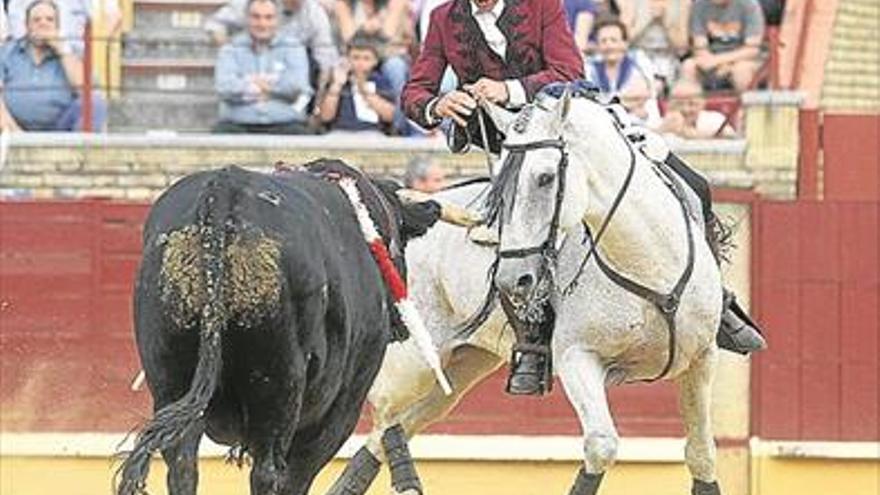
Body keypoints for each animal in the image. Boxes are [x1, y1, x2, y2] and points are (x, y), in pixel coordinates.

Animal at [118, 164, 440, 495]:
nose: (400, 327)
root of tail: (223, 190)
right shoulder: (345, 404)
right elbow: (298, 474)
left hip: (168, 373)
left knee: (181, 463)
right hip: (279, 383)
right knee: (267, 470)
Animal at [326, 90, 724, 495]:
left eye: (546, 178)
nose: (510, 280)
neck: (647, 263)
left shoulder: (702, 358)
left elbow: (702, 452)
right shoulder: (577, 356)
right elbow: (601, 446)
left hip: (462, 365)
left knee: (397, 423)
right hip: (414, 356)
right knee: (385, 410)